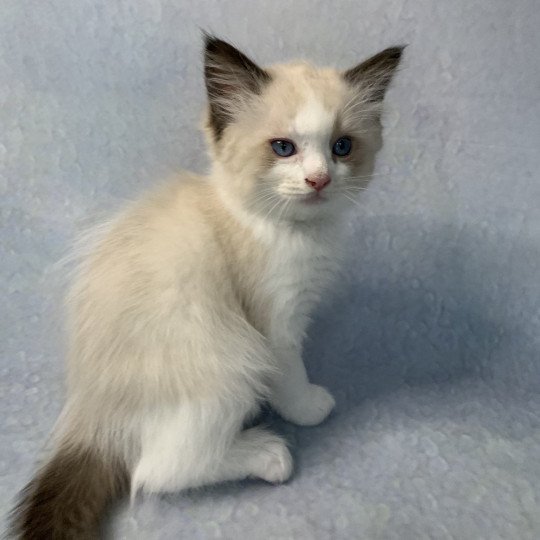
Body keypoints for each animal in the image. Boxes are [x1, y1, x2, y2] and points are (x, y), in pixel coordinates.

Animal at [10, 35, 402, 536]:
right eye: (283, 148)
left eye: (342, 146)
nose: (319, 180)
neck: (288, 230)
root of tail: (93, 416)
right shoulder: (274, 324)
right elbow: (290, 374)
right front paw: (308, 408)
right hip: (230, 360)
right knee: (157, 471)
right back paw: (268, 454)